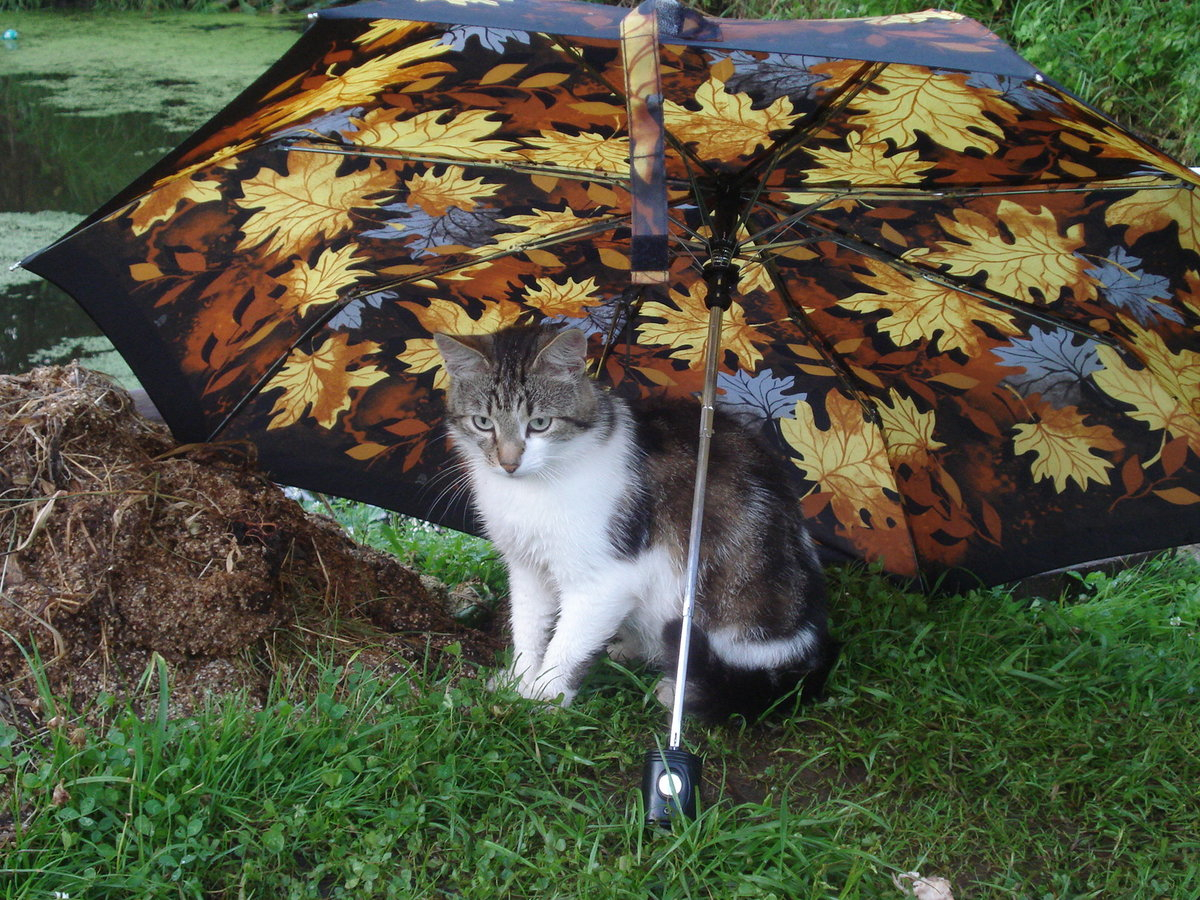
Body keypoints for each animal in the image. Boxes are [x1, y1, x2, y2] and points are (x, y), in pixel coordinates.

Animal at [436, 321, 840, 720]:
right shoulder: (526, 567)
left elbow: (569, 642)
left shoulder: (605, 579)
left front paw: (542, 697)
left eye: (539, 423)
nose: (508, 463)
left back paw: (678, 689)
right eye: (483, 422)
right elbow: (528, 625)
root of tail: (809, 655)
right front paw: (518, 679)